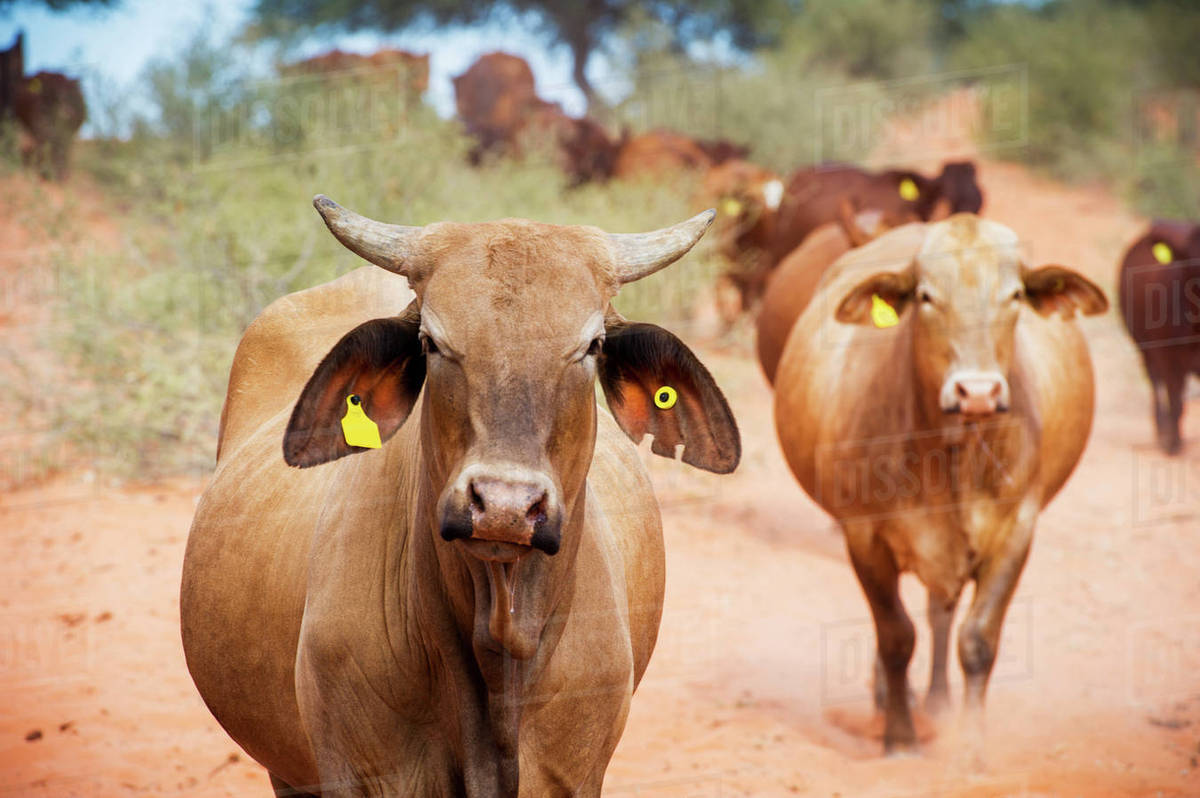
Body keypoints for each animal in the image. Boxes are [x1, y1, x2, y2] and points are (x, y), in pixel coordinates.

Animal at [773, 215, 1107, 754]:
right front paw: (900, 736)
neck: (950, 456)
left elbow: (977, 640)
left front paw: (971, 745)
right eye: (927, 297)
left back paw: (936, 701)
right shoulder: (865, 537)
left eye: (1015, 295)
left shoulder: (1016, 532)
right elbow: (895, 636)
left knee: (940, 614)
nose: (978, 392)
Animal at [1118, 220, 1200, 454]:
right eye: (1192, 260)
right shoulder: (1169, 358)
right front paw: (1172, 443)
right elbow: (1175, 401)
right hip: (1144, 348)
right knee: (1156, 384)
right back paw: (1163, 430)